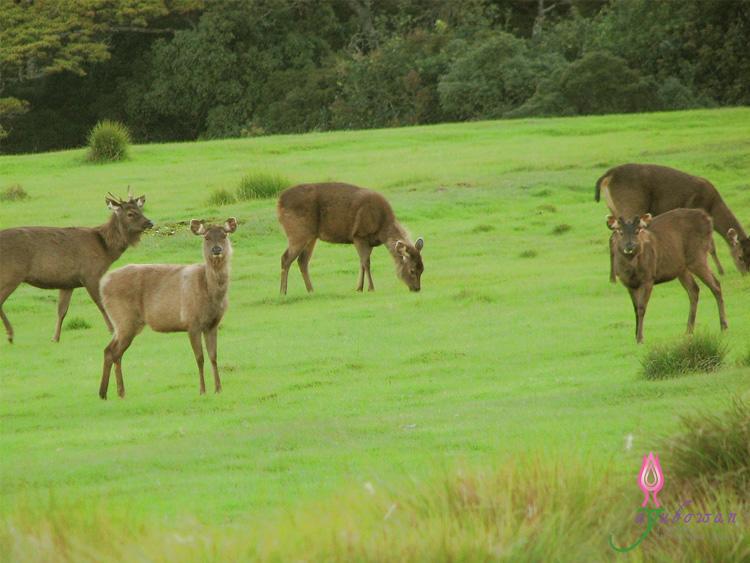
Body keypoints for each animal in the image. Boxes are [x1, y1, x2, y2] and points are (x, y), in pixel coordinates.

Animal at [0, 193, 153, 344]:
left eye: (140, 210)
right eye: (130, 213)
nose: (150, 223)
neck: (105, 250)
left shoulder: (67, 283)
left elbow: (62, 310)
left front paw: (55, 338)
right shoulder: (91, 275)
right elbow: (101, 303)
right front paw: (112, 330)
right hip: (11, 274)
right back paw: (10, 335)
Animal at [98, 218, 236, 398]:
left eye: (224, 235)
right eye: (206, 237)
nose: (217, 249)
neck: (211, 294)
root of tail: (102, 284)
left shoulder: (212, 324)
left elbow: (213, 356)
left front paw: (218, 389)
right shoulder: (192, 322)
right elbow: (199, 358)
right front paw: (202, 390)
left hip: (123, 324)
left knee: (110, 351)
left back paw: (109, 393)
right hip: (124, 319)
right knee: (114, 352)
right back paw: (115, 392)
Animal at [278, 184, 428, 296]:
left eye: (422, 269)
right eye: (412, 270)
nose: (417, 288)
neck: (382, 229)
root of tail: (278, 203)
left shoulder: (369, 241)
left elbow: (361, 263)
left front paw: (359, 288)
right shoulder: (359, 235)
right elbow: (366, 263)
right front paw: (370, 288)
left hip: (311, 236)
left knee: (302, 261)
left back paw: (311, 290)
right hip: (297, 232)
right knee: (286, 258)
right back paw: (283, 292)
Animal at [600, 164, 750, 282]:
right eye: (740, 257)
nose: (746, 274)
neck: (712, 206)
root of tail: (607, 176)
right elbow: (710, 246)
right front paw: (720, 271)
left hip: (614, 210)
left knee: (613, 237)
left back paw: (613, 278)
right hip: (630, 207)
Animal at [612, 208, 728, 344]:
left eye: (637, 231)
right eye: (620, 232)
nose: (630, 246)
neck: (631, 270)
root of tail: (709, 219)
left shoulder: (648, 278)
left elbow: (641, 308)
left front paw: (640, 338)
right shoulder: (628, 284)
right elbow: (635, 309)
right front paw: (635, 336)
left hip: (697, 255)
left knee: (716, 285)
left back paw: (724, 326)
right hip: (682, 268)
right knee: (694, 289)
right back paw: (689, 331)